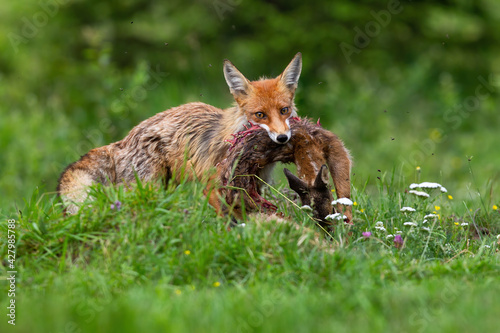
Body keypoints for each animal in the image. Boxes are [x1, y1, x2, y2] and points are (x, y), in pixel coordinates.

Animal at [57, 52, 300, 213]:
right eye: (260, 115)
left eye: (284, 110)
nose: (282, 138)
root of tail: (123, 140)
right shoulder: (212, 185)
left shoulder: (253, 185)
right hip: (150, 185)